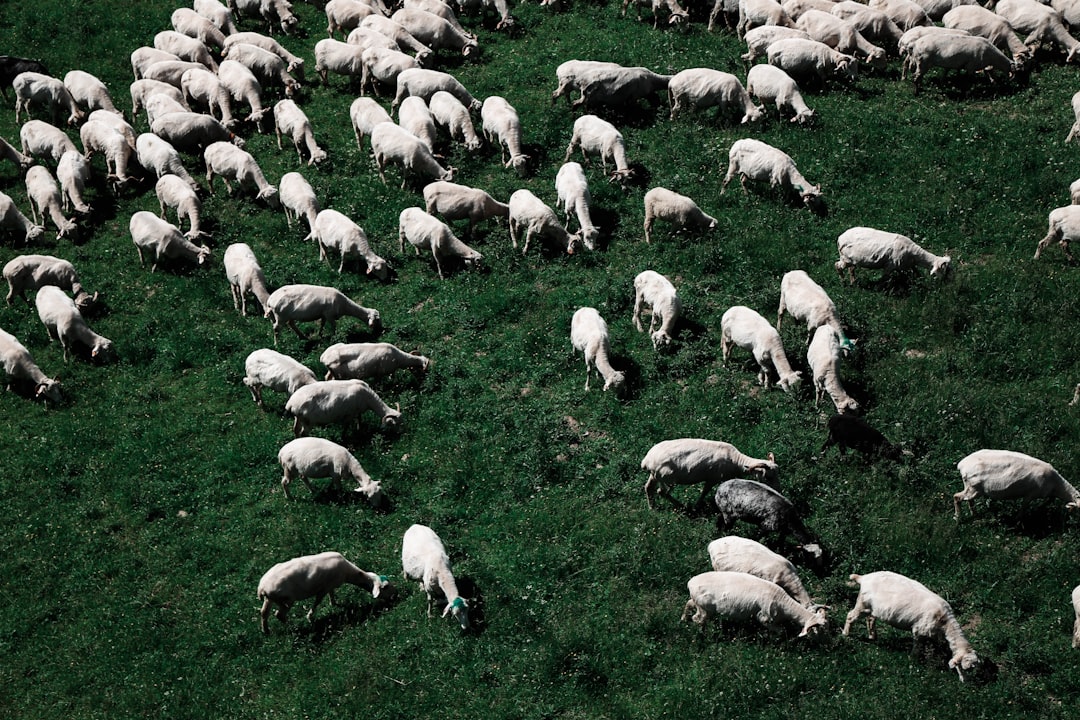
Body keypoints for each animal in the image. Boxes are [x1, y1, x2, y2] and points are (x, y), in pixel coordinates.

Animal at [257, 552, 388, 633]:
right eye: (385, 587)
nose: (393, 597)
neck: (349, 573)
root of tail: (262, 588)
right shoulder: (324, 588)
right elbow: (318, 602)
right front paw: (309, 617)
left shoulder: (330, 586)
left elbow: (332, 594)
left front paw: (334, 604)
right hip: (286, 600)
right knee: (279, 615)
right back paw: (293, 626)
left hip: (270, 598)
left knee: (264, 613)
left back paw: (266, 630)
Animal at [641, 438, 779, 510]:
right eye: (768, 477)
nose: (778, 491)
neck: (736, 461)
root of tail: (647, 461)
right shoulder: (712, 479)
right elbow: (704, 492)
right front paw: (698, 505)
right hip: (667, 479)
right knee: (661, 492)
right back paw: (683, 507)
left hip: (654, 475)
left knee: (649, 488)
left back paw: (652, 508)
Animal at [681, 571, 828, 636]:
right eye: (817, 627)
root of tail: (690, 583)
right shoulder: (764, 617)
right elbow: (780, 631)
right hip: (704, 608)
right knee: (697, 619)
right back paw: (703, 633)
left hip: (698, 603)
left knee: (689, 604)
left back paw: (683, 619)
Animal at [843, 571, 979, 680]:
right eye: (965, 668)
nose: (965, 682)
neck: (946, 623)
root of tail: (864, 577)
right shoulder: (919, 630)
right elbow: (917, 647)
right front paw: (914, 660)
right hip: (862, 603)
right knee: (850, 616)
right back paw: (845, 634)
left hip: (871, 608)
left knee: (870, 618)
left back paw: (872, 636)